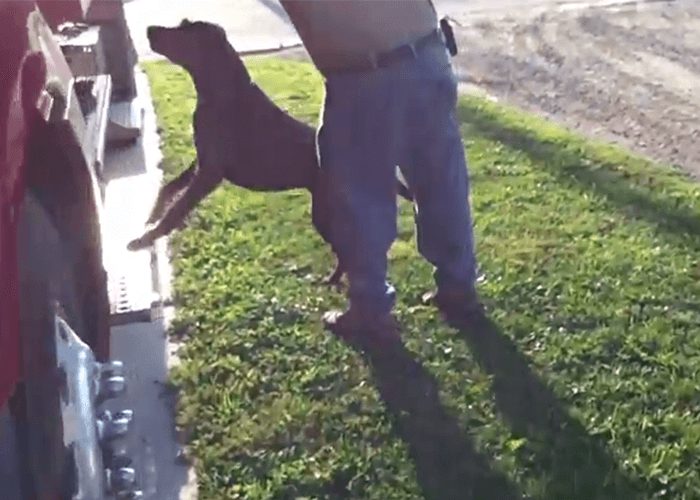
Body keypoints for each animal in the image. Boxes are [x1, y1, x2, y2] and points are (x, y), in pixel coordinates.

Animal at [127, 20, 410, 286]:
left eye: (185, 29)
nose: (150, 29)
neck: (222, 92)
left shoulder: (209, 173)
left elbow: (176, 211)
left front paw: (145, 238)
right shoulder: (202, 161)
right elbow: (169, 189)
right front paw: (151, 216)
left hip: (325, 213)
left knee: (353, 252)